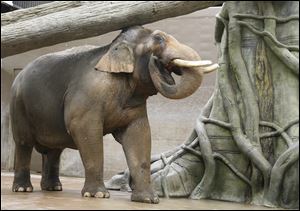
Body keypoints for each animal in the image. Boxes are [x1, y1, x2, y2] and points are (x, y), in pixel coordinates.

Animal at [9, 25, 218, 204]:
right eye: (159, 38)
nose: (157, 62)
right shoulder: (88, 94)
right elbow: (84, 130)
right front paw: (98, 195)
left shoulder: (135, 105)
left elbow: (139, 134)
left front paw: (149, 199)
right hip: (18, 106)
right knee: (24, 143)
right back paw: (23, 190)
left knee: (54, 150)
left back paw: (53, 188)